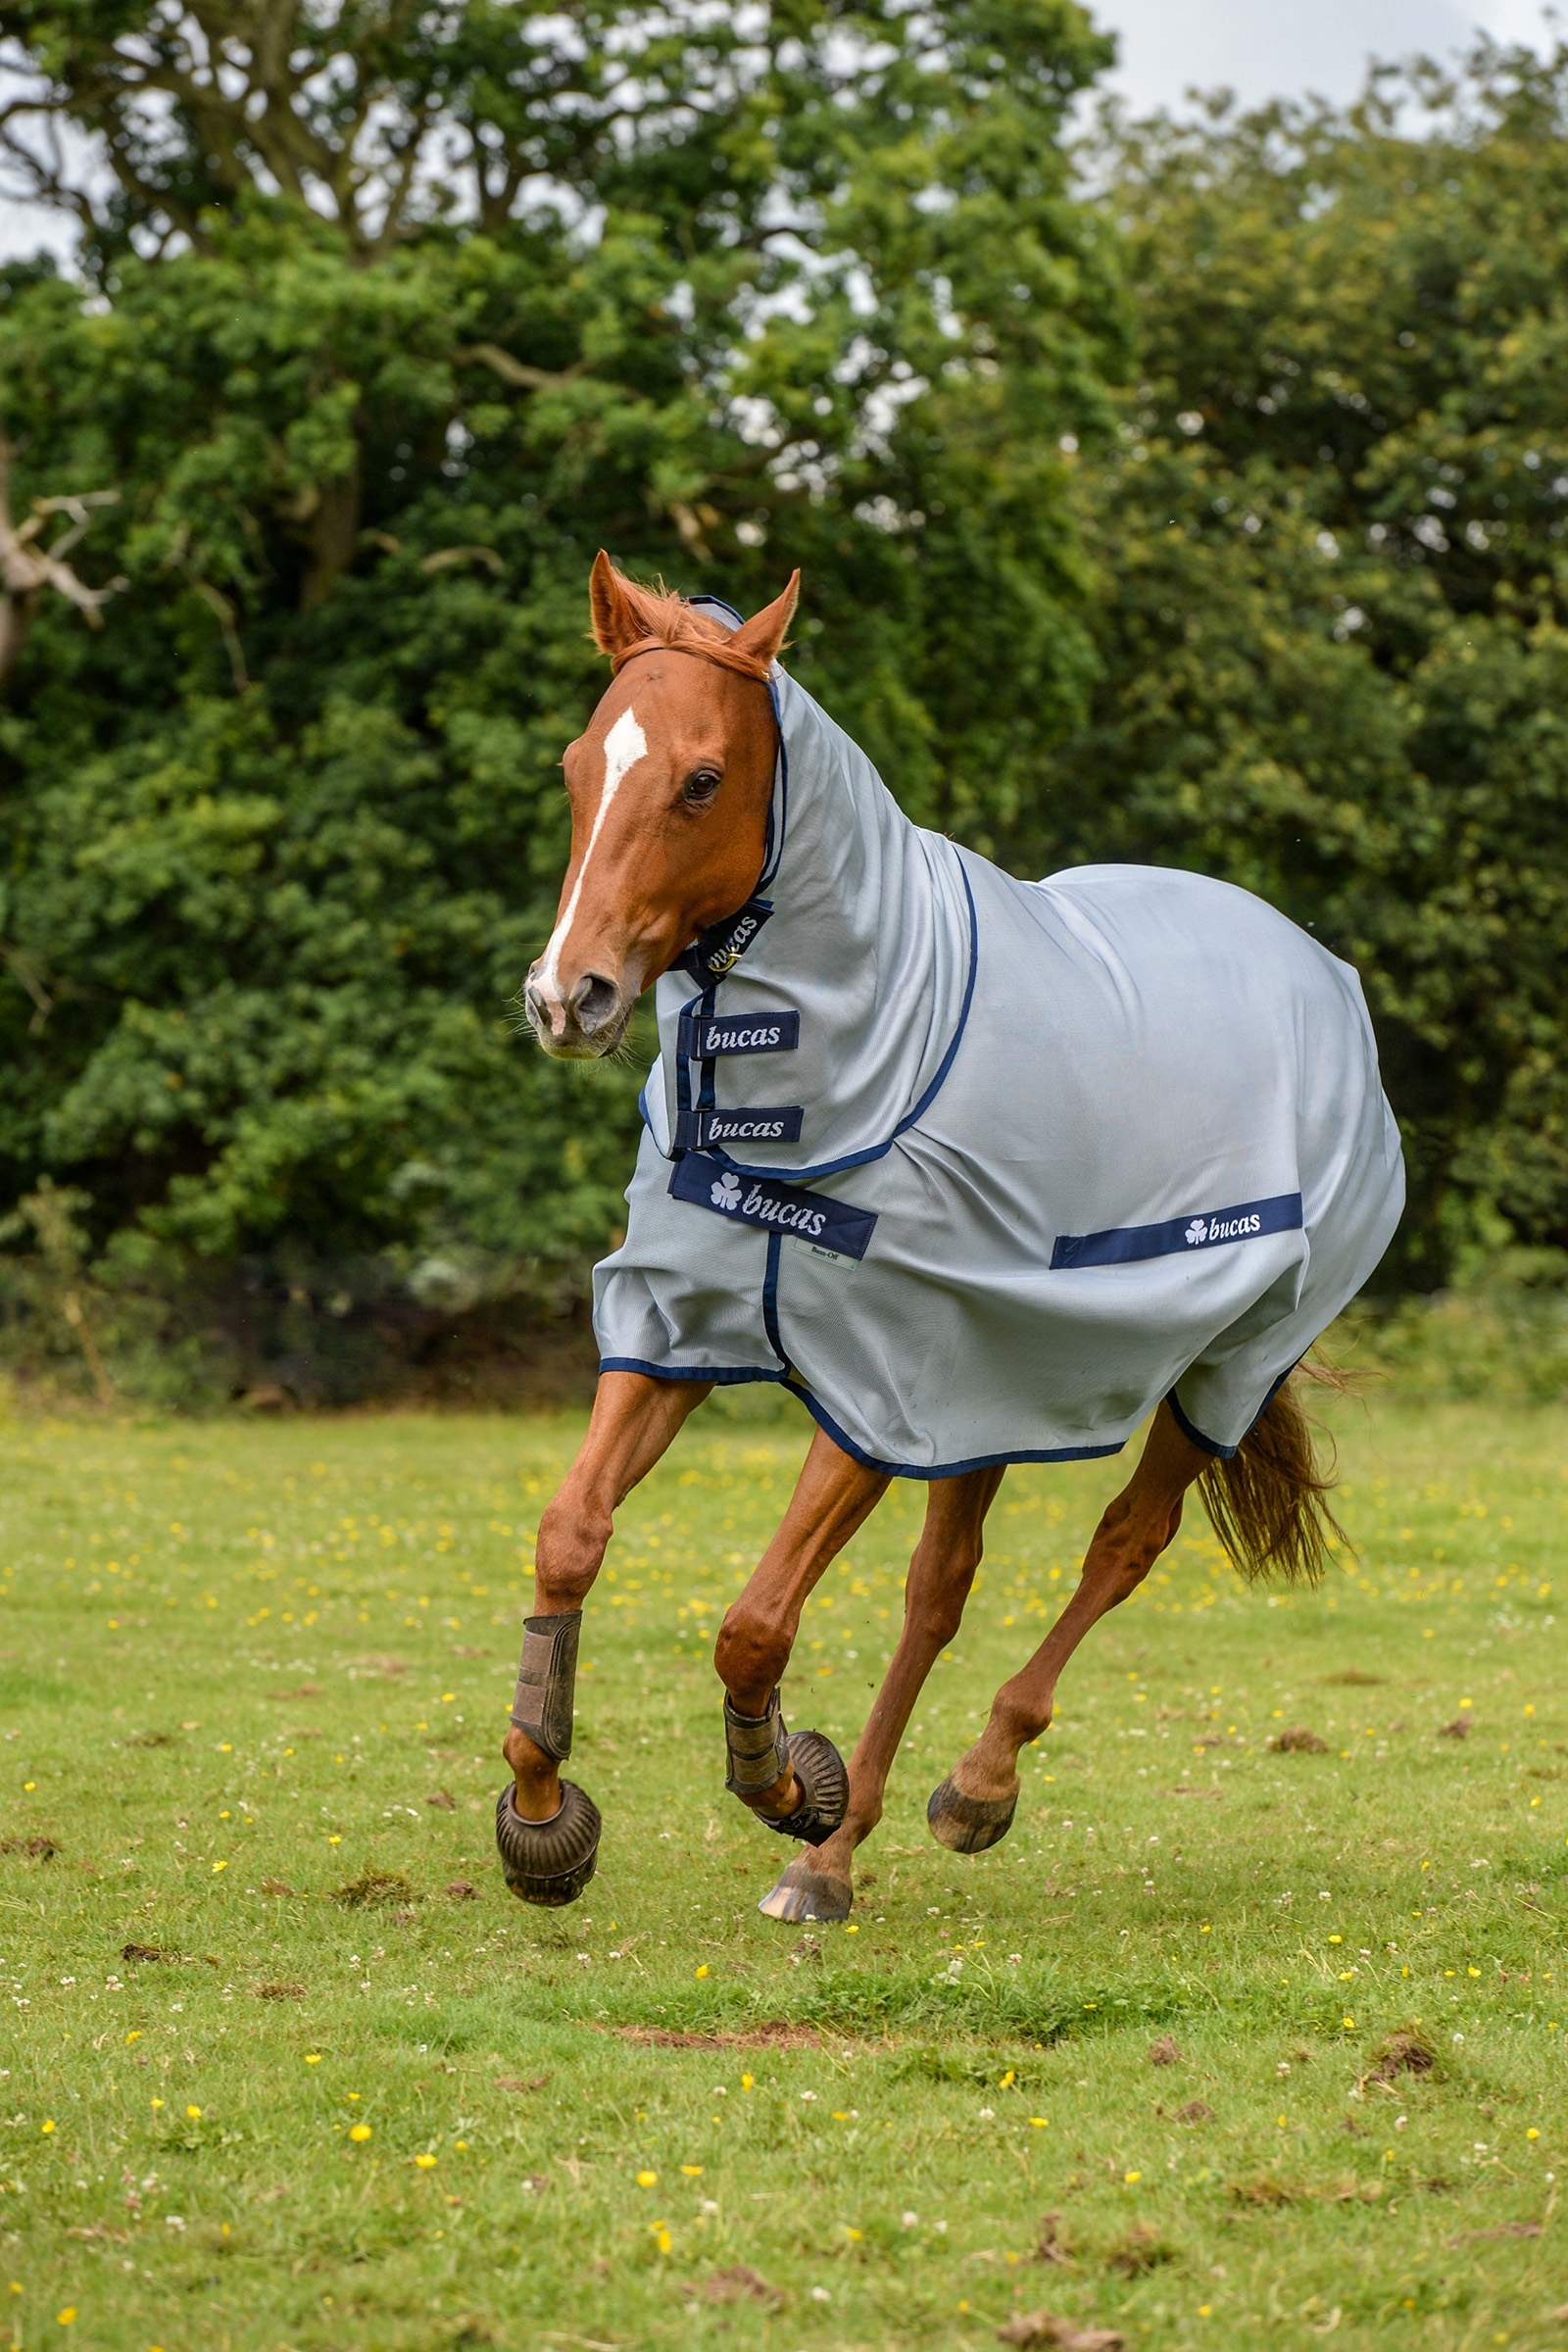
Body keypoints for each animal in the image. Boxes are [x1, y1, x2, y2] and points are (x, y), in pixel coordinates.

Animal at [495, 554, 1405, 1925]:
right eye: (573, 767)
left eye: (702, 779)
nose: (569, 997)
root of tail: (1323, 976)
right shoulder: (677, 1333)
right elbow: (569, 1537)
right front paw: (543, 1815)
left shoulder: (876, 1382)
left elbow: (752, 1624)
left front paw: (783, 1780)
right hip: (993, 1385)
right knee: (941, 1589)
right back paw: (832, 1861)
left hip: (1219, 1367)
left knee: (1122, 1547)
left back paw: (969, 1788)